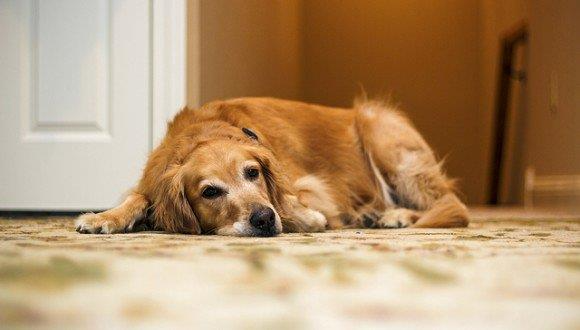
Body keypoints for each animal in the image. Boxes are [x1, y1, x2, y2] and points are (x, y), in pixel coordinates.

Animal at [76, 96, 466, 236]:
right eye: (210, 192)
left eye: (253, 173)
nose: (263, 219)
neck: (204, 133)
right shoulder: (153, 179)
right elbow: (139, 198)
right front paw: (104, 217)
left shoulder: (314, 190)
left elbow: (300, 207)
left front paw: (305, 218)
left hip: (381, 130)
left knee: (453, 207)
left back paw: (394, 215)